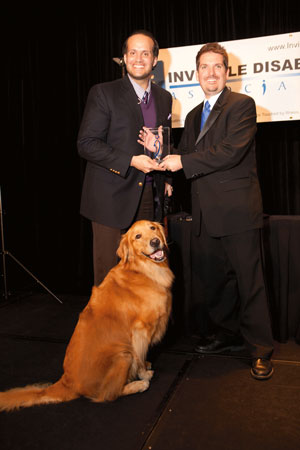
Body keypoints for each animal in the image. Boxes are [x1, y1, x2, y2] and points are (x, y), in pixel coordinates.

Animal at [0, 219, 173, 412]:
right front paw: (143, 373)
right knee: (108, 395)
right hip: (123, 354)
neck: (142, 270)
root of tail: (67, 382)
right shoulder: (139, 332)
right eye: (137, 236)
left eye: (153, 228)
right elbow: (140, 357)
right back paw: (137, 385)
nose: (155, 242)